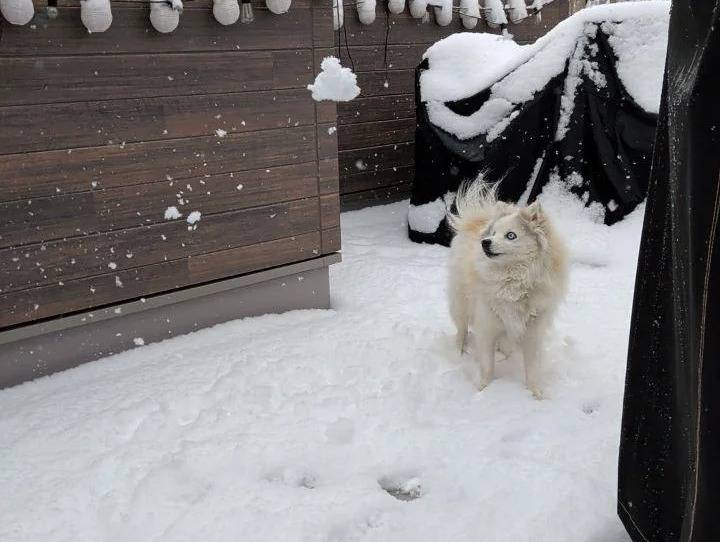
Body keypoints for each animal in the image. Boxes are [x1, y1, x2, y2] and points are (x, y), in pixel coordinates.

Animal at [447, 182, 568, 398]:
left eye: (511, 235)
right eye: (493, 234)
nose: (485, 242)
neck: (513, 280)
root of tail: (476, 219)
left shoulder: (533, 332)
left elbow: (532, 368)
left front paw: (535, 394)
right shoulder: (486, 326)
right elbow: (487, 365)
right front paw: (483, 389)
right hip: (460, 303)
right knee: (461, 329)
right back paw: (459, 351)